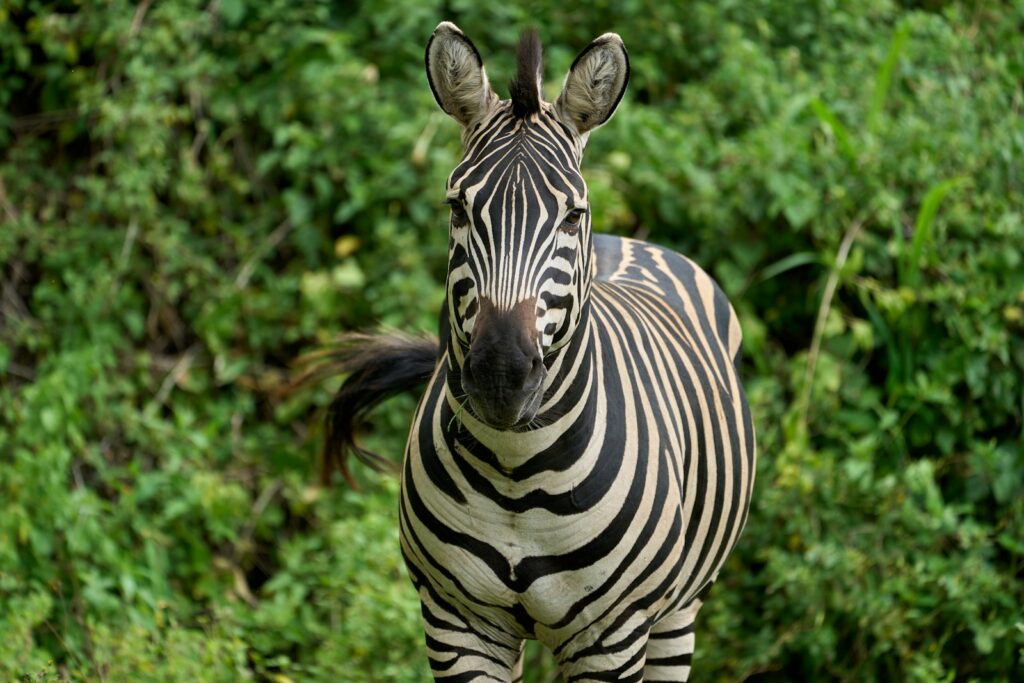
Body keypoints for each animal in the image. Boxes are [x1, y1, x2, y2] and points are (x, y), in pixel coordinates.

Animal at [321, 22, 761, 683]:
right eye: (457, 208)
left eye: (572, 215)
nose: (501, 375)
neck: (516, 472)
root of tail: (629, 242)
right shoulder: (457, 625)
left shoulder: (612, 639)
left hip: (677, 613)